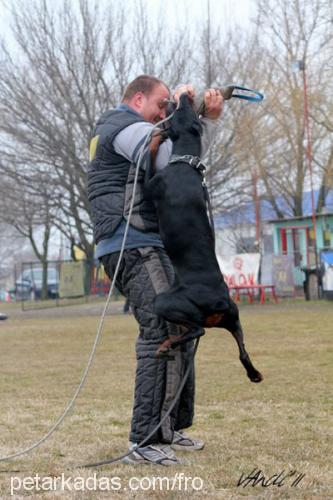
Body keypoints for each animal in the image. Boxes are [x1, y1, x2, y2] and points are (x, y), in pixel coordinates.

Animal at [145, 94, 262, 382]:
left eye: (179, 109)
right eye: (187, 108)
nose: (183, 95)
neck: (186, 162)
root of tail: (218, 302)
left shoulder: (152, 184)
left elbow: (150, 161)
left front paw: (155, 138)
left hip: (165, 301)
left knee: (198, 330)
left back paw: (166, 345)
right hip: (233, 316)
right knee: (242, 350)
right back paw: (254, 373)